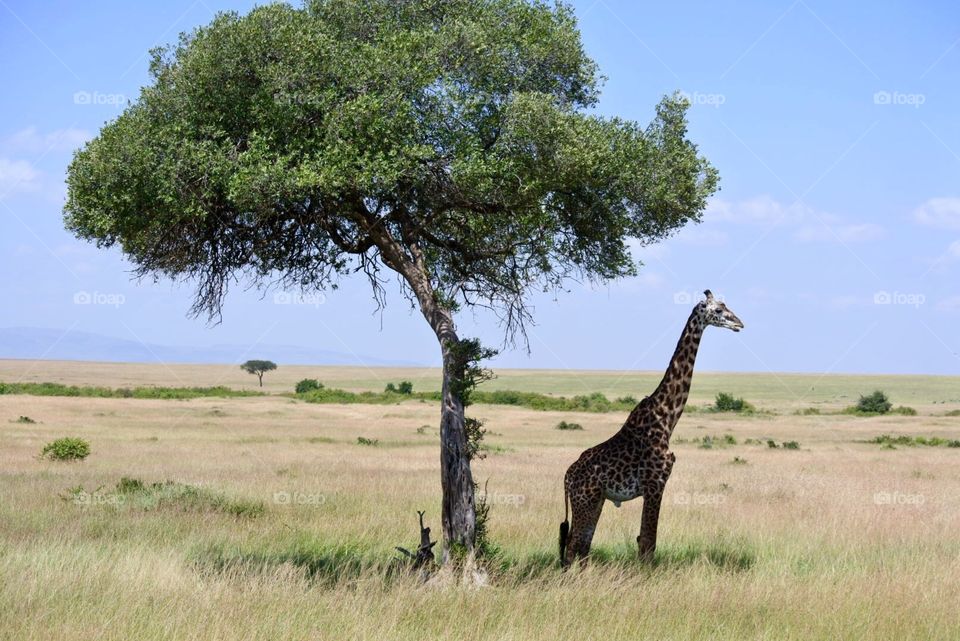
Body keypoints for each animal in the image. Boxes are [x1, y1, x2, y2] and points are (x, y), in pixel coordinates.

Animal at [560, 290, 748, 564]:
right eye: (719, 310)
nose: (739, 324)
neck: (667, 416)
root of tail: (567, 478)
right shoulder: (655, 482)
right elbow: (648, 542)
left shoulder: (654, 485)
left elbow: (644, 541)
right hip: (585, 499)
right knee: (574, 547)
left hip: (595, 500)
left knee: (581, 546)